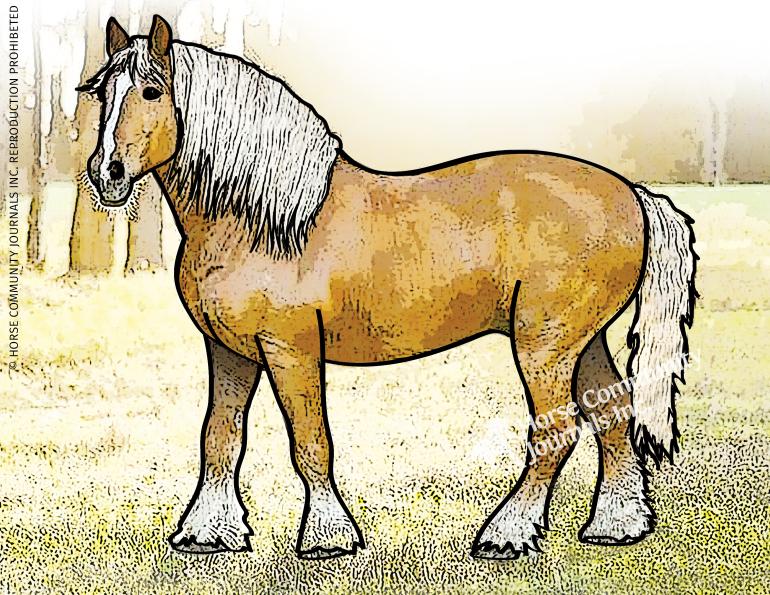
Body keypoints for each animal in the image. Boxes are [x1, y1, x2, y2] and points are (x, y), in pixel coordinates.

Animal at [78, 15, 697, 560]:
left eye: (152, 90)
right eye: (104, 92)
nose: (107, 174)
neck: (261, 217)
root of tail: (631, 193)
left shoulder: (290, 350)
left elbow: (310, 441)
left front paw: (328, 536)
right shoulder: (230, 350)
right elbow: (220, 438)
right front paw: (207, 533)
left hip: (544, 344)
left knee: (559, 429)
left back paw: (506, 534)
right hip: (581, 339)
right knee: (612, 414)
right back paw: (618, 526)